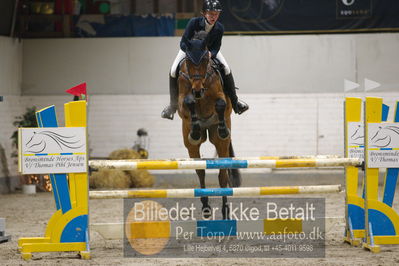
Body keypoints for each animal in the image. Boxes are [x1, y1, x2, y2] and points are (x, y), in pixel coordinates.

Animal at [177, 38, 241, 220]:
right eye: (189, 61)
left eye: (206, 60)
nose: (198, 90)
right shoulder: (182, 100)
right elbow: (188, 102)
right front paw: (195, 130)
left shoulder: (220, 95)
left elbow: (220, 103)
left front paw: (223, 129)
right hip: (191, 147)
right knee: (200, 171)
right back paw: (205, 207)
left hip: (220, 142)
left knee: (222, 175)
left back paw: (225, 210)